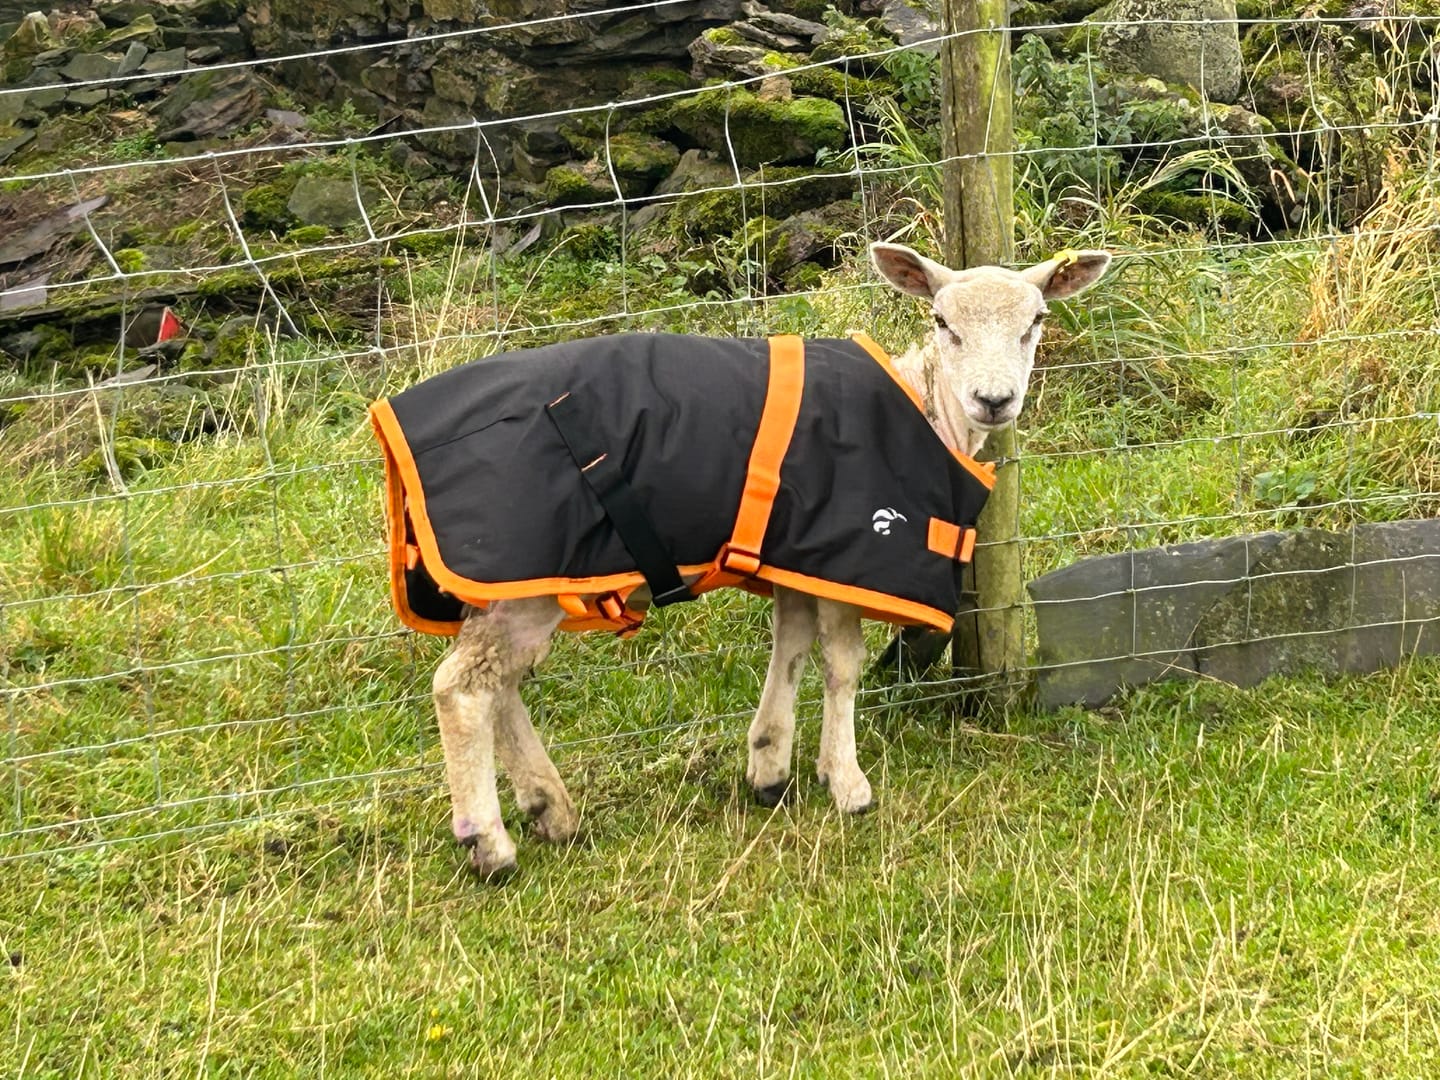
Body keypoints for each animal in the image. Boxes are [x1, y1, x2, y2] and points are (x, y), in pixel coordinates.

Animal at [418, 242, 1112, 880]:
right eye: (942, 320)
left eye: (1037, 319)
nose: (994, 399)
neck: (927, 407)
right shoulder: (843, 552)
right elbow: (842, 664)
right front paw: (848, 783)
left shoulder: (798, 555)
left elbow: (792, 647)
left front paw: (770, 766)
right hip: (523, 567)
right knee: (461, 688)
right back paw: (490, 844)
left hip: (514, 585)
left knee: (500, 684)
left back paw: (550, 809)